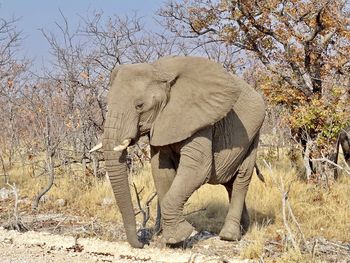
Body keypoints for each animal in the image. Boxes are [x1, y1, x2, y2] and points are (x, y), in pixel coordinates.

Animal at [91, 56, 266, 249]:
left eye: (140, 106)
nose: (142, 243)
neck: (159, 71)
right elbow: (161, 170)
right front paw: (170, 239)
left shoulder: (200, 119)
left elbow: (198, 169)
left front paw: (179, 237)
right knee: (230, 183)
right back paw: (244, 228)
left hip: (254, 136)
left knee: (241, 178)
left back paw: (229, 236)